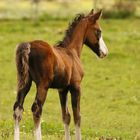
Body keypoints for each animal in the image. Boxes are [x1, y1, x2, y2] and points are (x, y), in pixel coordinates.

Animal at [13, 9, 108, 140]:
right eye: (99, 31)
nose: (105, 52)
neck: (72, 52)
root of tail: (29, 45)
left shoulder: (62, 90)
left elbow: (66, 116)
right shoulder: (76, 87)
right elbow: (77, 116)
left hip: (25, 82)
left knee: (18, 108)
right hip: (43, 85)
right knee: (37, 109)